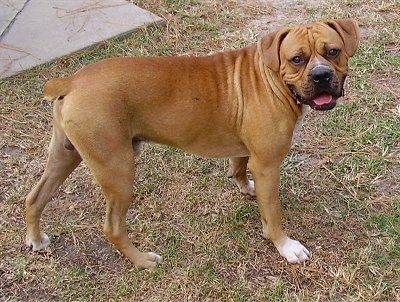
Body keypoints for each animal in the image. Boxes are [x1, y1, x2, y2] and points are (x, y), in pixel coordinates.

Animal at [26, 19, 360, 268]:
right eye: (297, 59)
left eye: (333, 51)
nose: (321, 75)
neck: (271, 77)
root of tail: (71, 81)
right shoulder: (268, 165)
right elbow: (273, 214)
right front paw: (285, 246)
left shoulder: (249, 154)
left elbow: (239, 167)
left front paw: (245, 188)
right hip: (117, 171)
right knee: (113, 227)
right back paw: (143, 261)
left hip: (64, 157)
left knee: (34, 198)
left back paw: (36, 240)